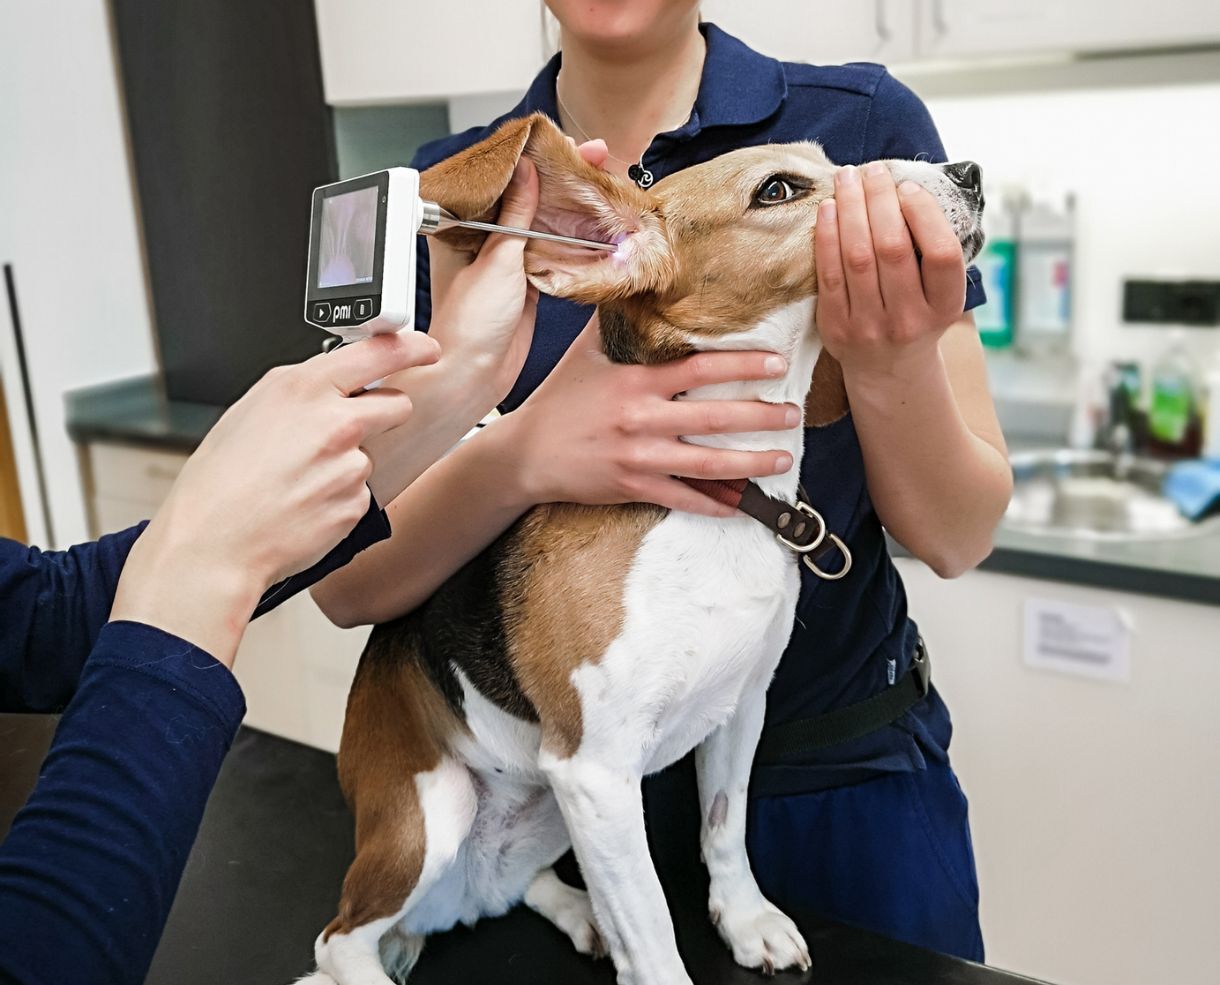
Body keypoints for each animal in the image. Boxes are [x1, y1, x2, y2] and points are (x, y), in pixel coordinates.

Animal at [295, 113, 980, 985]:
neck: (713, 504)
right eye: (777, 190)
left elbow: (724, 830)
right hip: (437, 811)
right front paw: (658, 951)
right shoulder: (596, 771)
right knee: (338, 936)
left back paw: (581, 915)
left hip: (547, 812)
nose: (970, 174)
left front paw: (745, 920)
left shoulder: (738, 708)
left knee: (518, 887)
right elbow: (652, 928)